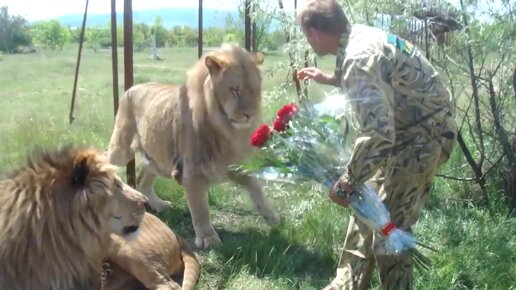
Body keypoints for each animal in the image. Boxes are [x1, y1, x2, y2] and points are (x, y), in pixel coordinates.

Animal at [105, 43, 280, 249]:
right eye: (234, 90)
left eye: (254, 90)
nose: (249, 115)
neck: (224, 128)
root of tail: (131, 88)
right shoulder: (193, 171)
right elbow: (200, 208)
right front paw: (208, 238)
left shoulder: (232, 163)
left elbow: (256, 187)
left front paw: (272, 217)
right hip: (121, 148)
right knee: (108, 160)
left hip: (159, 159)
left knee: (143, 179)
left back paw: (159, 205)